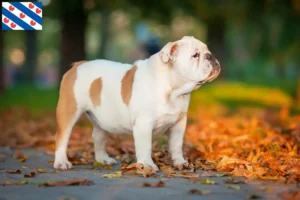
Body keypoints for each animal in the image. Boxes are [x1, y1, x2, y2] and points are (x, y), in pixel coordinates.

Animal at [54, 36, 220, 170]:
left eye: (207, 51)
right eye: (195, 55)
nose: (211, 56)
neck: (173, 89)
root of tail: (78, 65)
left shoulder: (179, 124)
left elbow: (176, 144)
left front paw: (180, 162)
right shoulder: (144, 123)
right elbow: (145, 146)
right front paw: (147, 165)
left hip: (103, 119)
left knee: (98, 136)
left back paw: (103, 159)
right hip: (69, 111)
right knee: (62, 137)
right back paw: (61, 162)